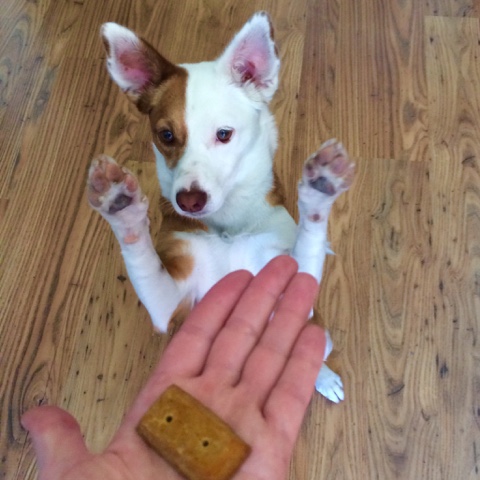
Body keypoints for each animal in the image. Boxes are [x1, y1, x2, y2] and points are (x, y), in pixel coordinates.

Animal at [87, 12, 354, 403]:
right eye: (166, 136)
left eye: (224, 134)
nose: (189, 200)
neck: (230, 225)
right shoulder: (170, 301)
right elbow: (143, 260)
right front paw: (121, 206)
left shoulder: (294, 279)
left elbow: (310, 236)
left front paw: (320, 190)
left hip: (321, 334)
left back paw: (323, 376)